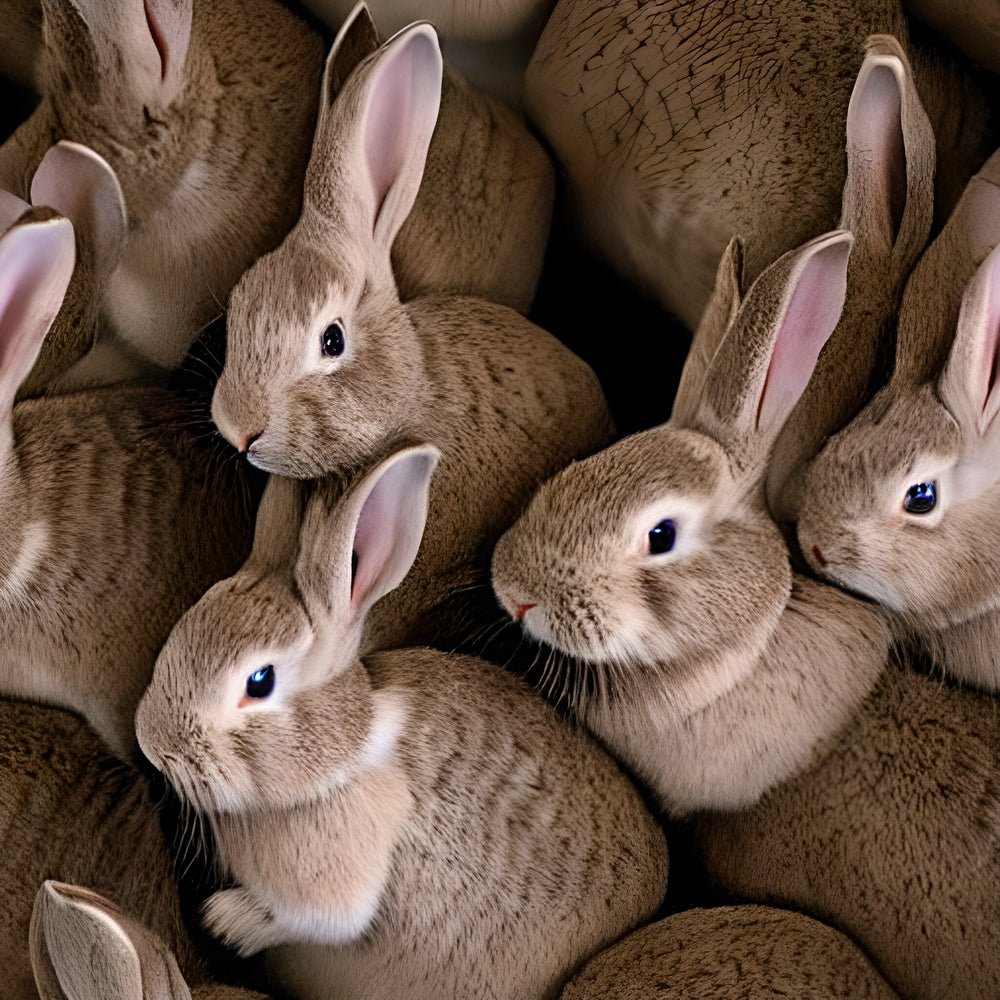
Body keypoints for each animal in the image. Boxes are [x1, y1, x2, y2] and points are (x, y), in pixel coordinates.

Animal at [134, 443, 669, 1000]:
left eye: (259, 681)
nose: (153, 747)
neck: (339, 762)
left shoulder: (342, 869)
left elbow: (323, 917)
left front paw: (223, 921)